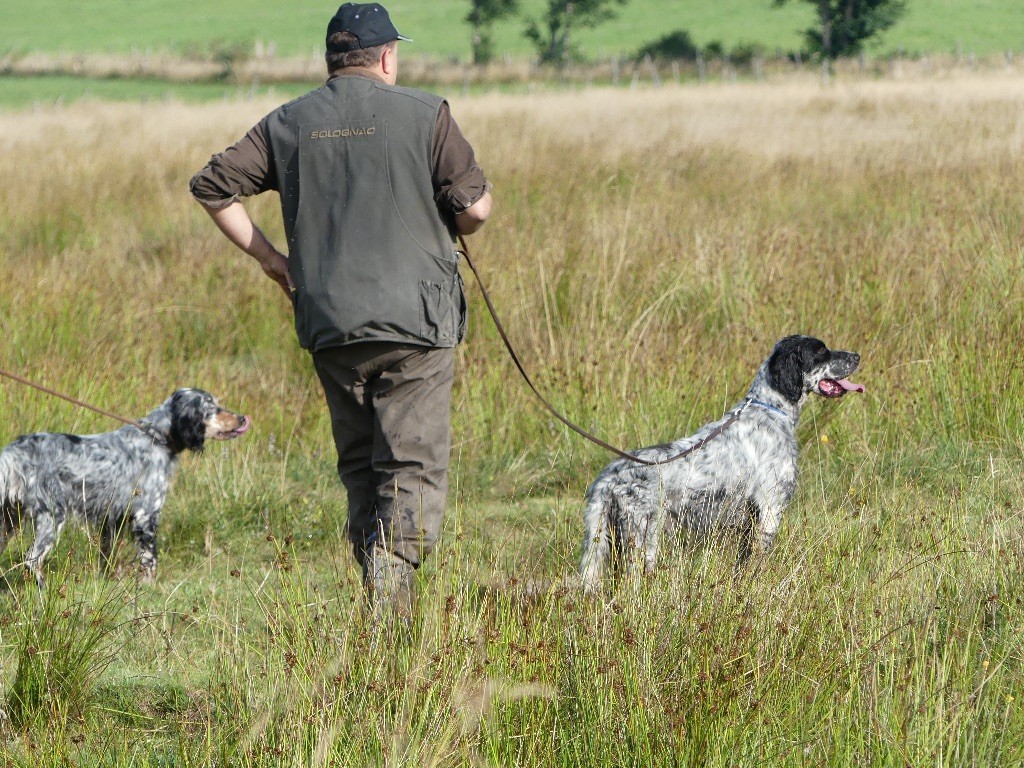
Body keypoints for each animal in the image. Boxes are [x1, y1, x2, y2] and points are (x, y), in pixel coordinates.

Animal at [0, 387, 248, 585]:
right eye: (213, 407)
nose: (243, 419)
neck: (156, 438)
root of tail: (13, 453)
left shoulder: (112, 520)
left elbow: (108, 558)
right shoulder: (146, 514)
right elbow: (150, 559)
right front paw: (148, 587)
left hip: (9, 520)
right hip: (52, 515)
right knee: (32, 559)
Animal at [581, 333, 860, 593]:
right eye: (821, 351)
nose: (857, 356)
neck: (770, 410)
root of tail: (608, 478)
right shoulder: (770, 511)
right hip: (642, 539)